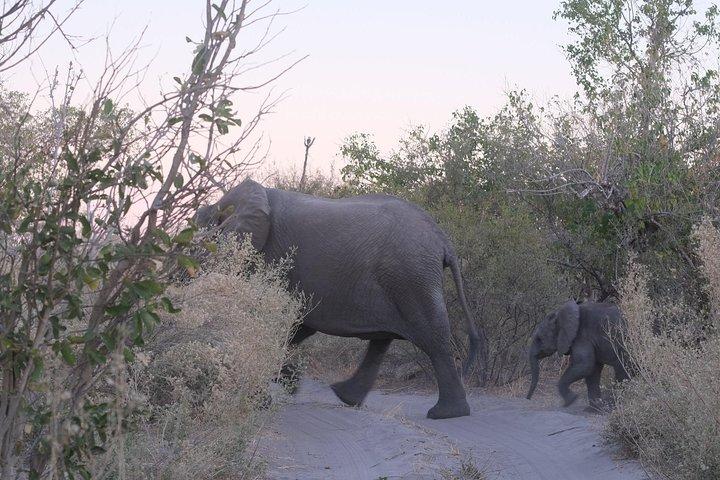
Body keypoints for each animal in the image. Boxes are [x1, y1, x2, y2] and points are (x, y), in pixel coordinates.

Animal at [194, 178, 485, 419]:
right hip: (404, 278)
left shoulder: (269, 256)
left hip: (411, 276)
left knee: (431, 337)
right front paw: (286, 382)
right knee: (384, 340)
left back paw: (445, 414)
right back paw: (346, 397)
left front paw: (268, 396)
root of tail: (443, 240)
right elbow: (296, 325)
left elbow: (272, 321)